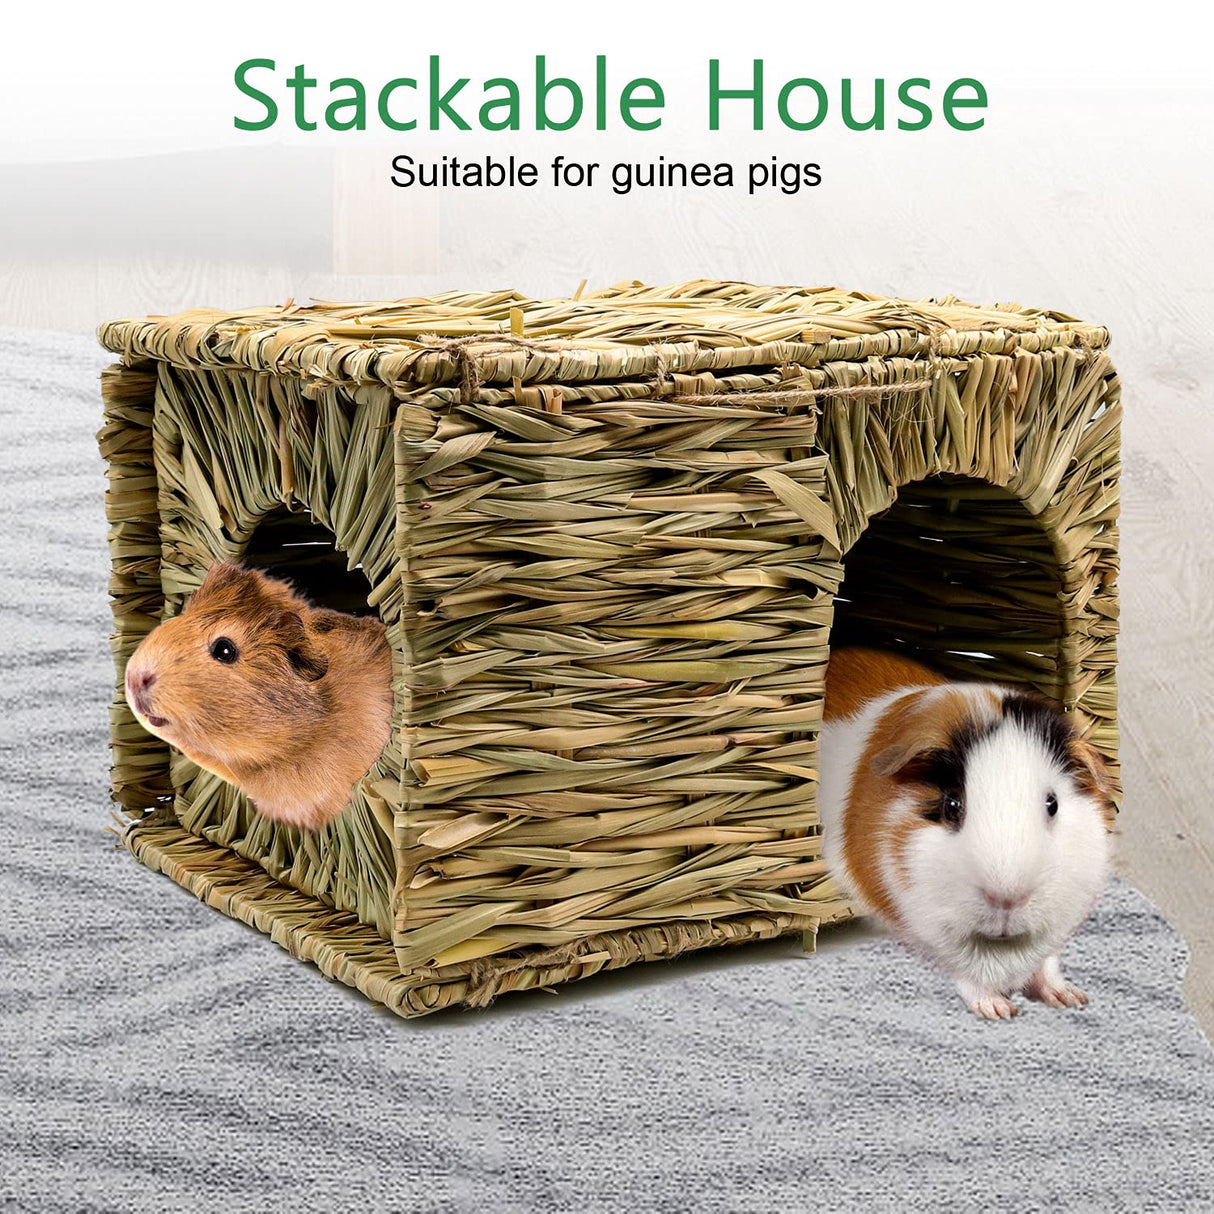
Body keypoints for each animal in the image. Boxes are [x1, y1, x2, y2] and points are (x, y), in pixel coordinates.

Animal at [817, 647, 1114, 1020]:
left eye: (1053, 803)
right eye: (952, 804)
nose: (1007, 899)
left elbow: (1046, 962)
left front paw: (1070, 998)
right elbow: (965, 970)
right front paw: (999, 1010)